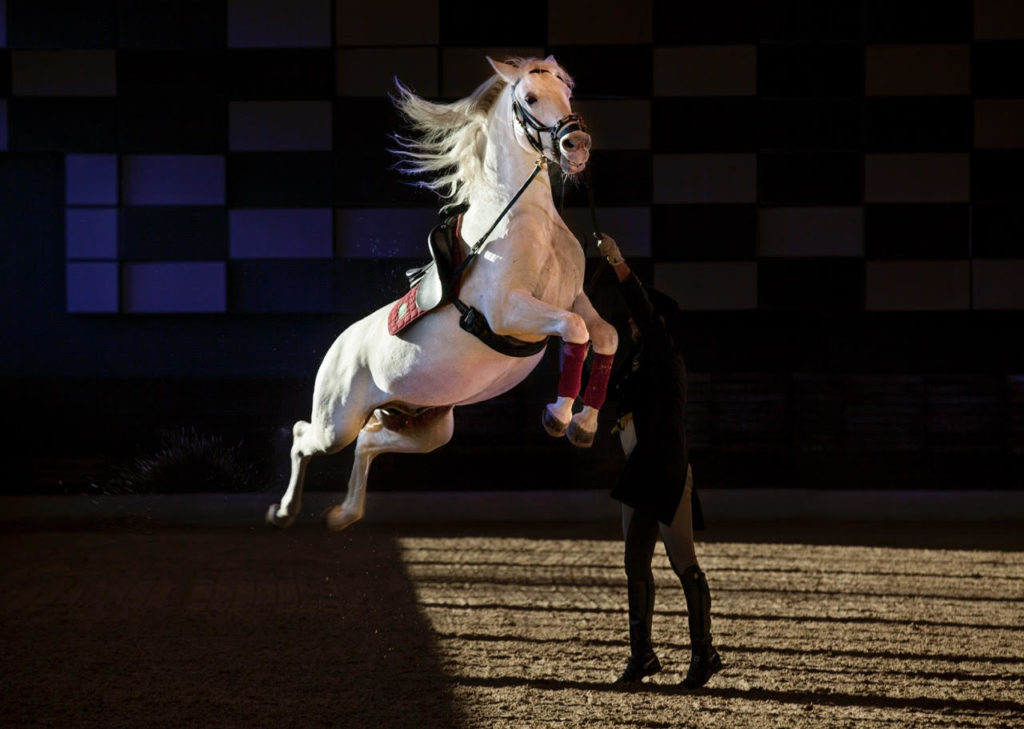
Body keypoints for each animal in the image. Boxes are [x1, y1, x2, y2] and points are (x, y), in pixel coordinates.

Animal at [264, 54, 614, 528]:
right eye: (529, 98)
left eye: (567, 91)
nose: (576, 144)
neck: (526, 219)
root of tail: (339, 343)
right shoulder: (509, 312)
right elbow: (576, 330)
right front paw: (558, 417)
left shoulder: (572, 297)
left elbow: (604, 334)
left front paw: (584, 426)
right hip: (336, 423)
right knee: (304, 436)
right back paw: (284, 511)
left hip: (427, 428)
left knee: (368, 444)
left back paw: (343, 514)